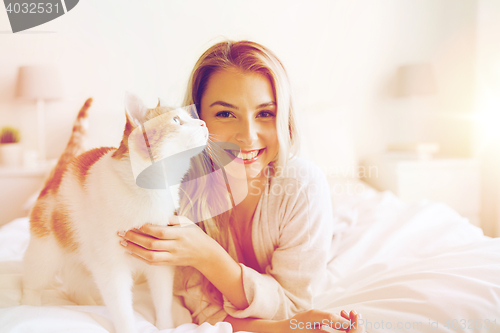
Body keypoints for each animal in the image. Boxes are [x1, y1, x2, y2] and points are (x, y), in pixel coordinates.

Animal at [21, 92, 209, 332]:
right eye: (176, 120)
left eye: (191, 117)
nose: (203, 122)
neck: (152, 190)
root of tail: (60, 172)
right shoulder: (112, 269)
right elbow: (122, 308)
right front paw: (128, 327)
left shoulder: (160, 261)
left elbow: (163, 301)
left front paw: (165, 326)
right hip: (46, 255)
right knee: (32, 283)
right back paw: (30, 306)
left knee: (74, 285)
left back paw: (89, 304)